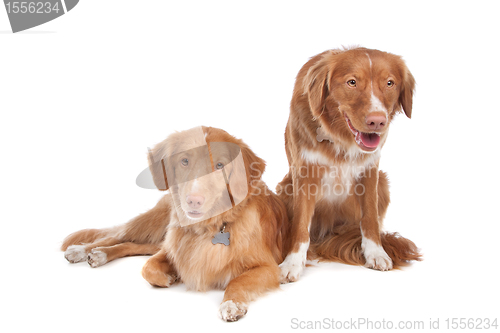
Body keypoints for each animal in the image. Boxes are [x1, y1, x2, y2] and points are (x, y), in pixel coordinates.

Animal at [62, 126, 290, 320]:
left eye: (220, 165)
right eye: (184, 161)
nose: (194, 200)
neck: (211, 226)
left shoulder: (268, 266)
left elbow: (238, 280)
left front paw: (231, 303)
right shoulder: (172, 249)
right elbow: (147, 267)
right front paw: (169, 277)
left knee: (132, 244)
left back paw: (99, 254)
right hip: (155, 221)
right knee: (117, 235)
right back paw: (83, 250)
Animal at [278, 45, 422, 282]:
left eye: (389, 83)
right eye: (352, 82)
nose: (377, 121)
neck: (340, 136)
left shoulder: (370, 170)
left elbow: (370, 218)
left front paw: (375, 253)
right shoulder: (305, 173)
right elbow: (300, 225)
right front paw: (292, 263)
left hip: (383, 182)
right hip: (285, 187)